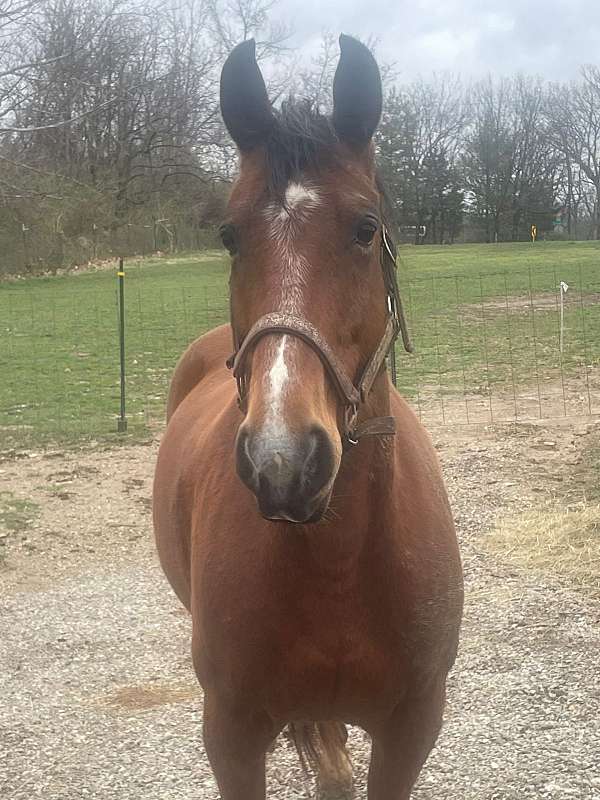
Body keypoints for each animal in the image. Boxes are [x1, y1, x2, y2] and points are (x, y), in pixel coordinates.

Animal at [153, 35, 463, 800]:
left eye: (366, 228)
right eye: (229, 236)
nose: (284, 461)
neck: (338, 560)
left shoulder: (411, 730)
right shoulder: (231, 737)